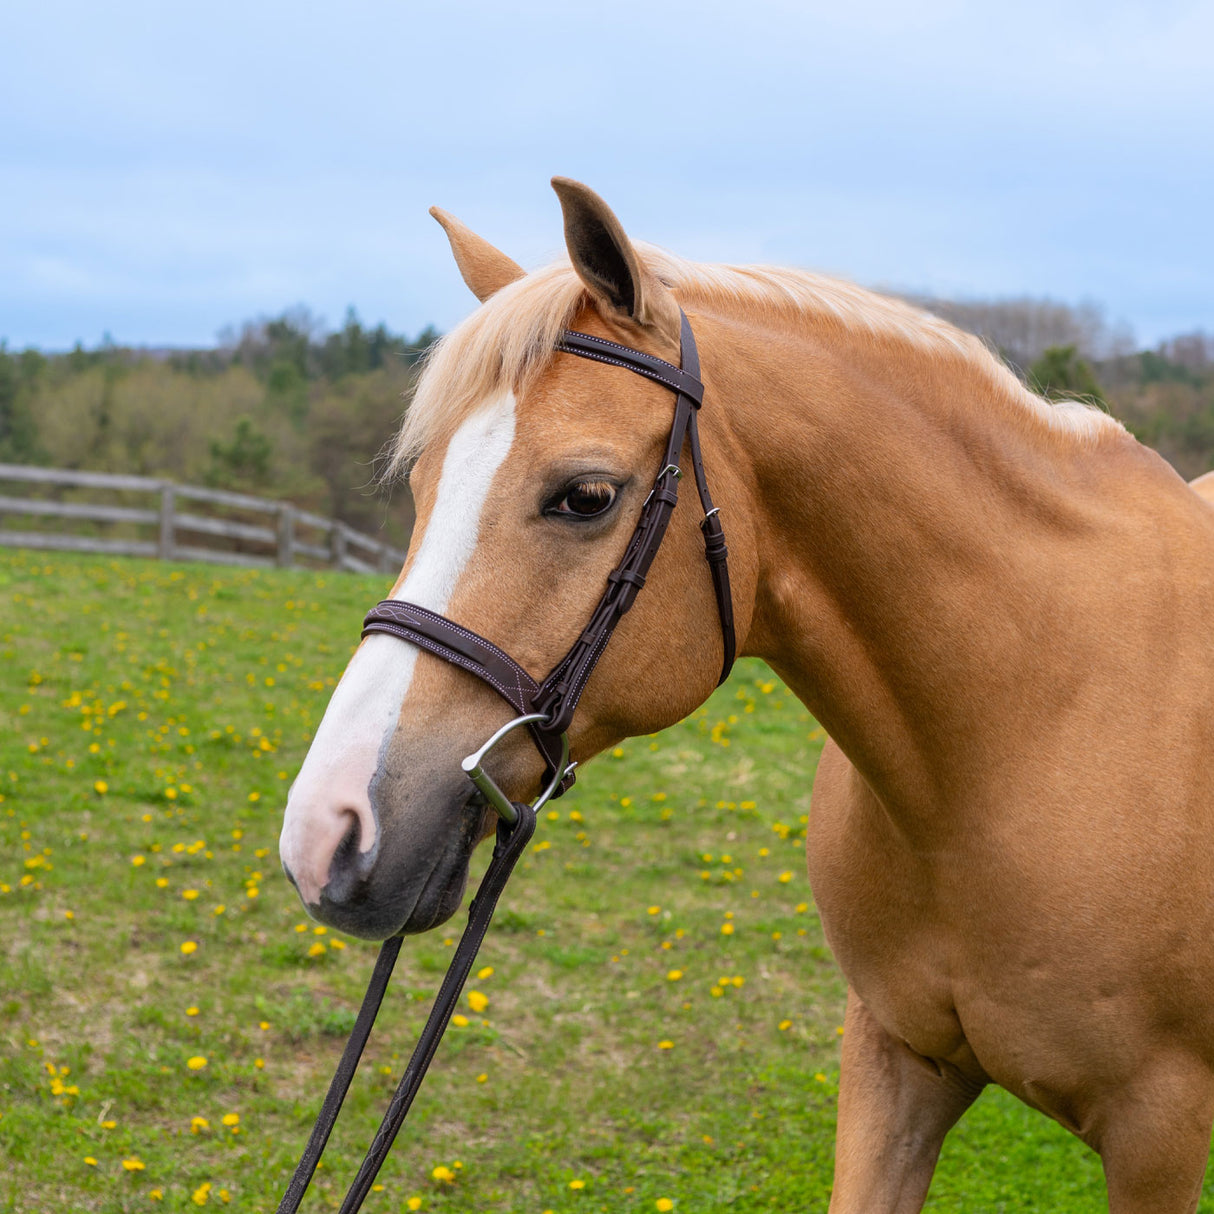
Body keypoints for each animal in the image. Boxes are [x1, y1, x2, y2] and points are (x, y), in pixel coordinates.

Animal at [279, 176, 1214, 1209]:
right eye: (422, 484)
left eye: (586, 496)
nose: (327, 830)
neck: (1032, 729)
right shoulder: (895, 1061)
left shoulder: (1158, 1134)